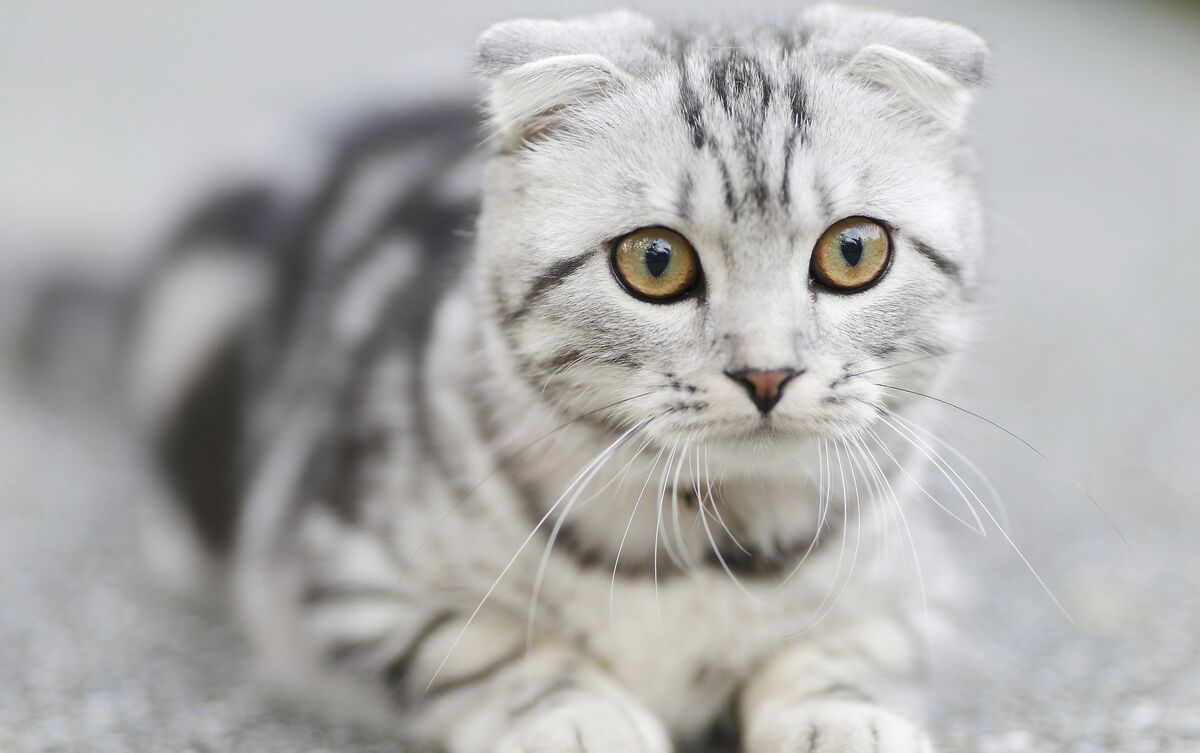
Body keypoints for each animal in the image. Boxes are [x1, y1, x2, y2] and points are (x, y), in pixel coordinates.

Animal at [121, 5, 988, 753]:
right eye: (655, 261)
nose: (767, 372)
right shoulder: (335, 579)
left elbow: (838, 650)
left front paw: (844, 722)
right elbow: (494, 650)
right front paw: (583, 722)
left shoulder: (917, 592)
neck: (705, 537)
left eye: (853, 251)